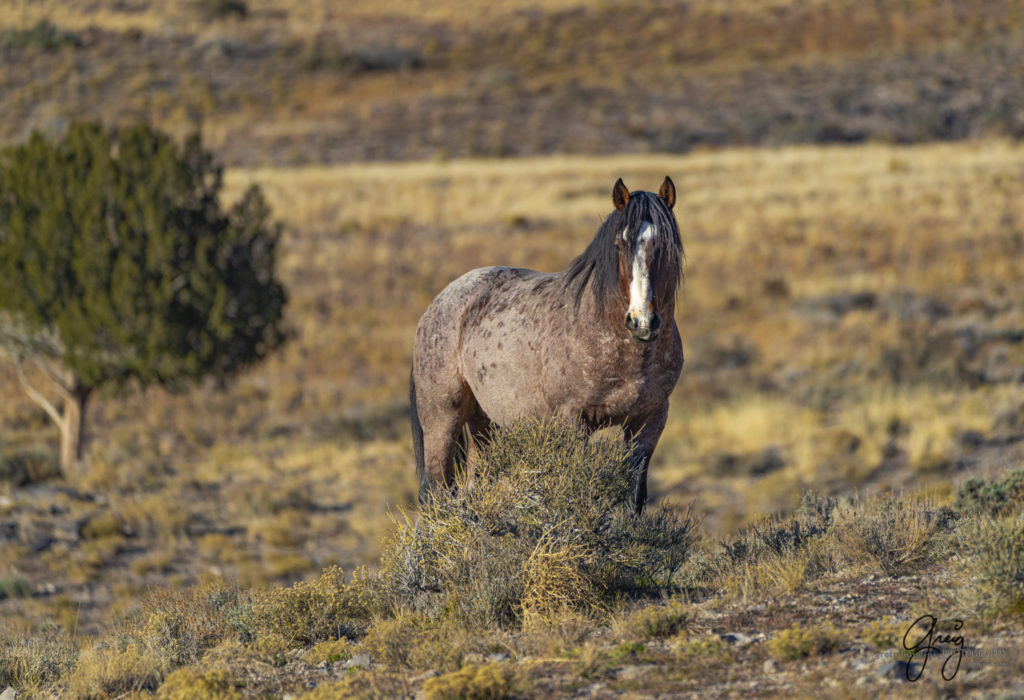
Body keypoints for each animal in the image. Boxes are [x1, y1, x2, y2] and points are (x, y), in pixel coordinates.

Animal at [405, 176, 679, 513]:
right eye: (619, 245)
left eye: (665, 245)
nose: (642, 321)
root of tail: (438, 303)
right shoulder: (573, 420)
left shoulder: (648, 422)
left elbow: (634, 499)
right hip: (442, 421)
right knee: (436, 491)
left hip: (485, 425)